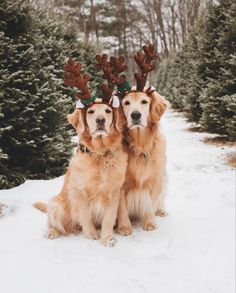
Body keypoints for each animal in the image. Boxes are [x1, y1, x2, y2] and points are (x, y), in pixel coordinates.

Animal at [34, 104, 127, 245]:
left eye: (108, 111)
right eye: (90, 111)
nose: (100, 120)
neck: (100, 154)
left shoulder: (114, 191)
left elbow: (109, 219)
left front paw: (108, 239)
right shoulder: (80, 192)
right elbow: (86, 216)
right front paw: (91, 235)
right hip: (55, 205)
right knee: (55, 224)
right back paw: (52, 232)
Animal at [117, 89, 168, 235]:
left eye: (144, 101)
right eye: (126, 103)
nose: (135, 115)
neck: (140, 146)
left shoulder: (155, 181)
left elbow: (151, 204)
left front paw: (149, 223)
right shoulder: (120, 185)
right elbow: (122, 209)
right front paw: (124, 227)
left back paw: (161, 211)